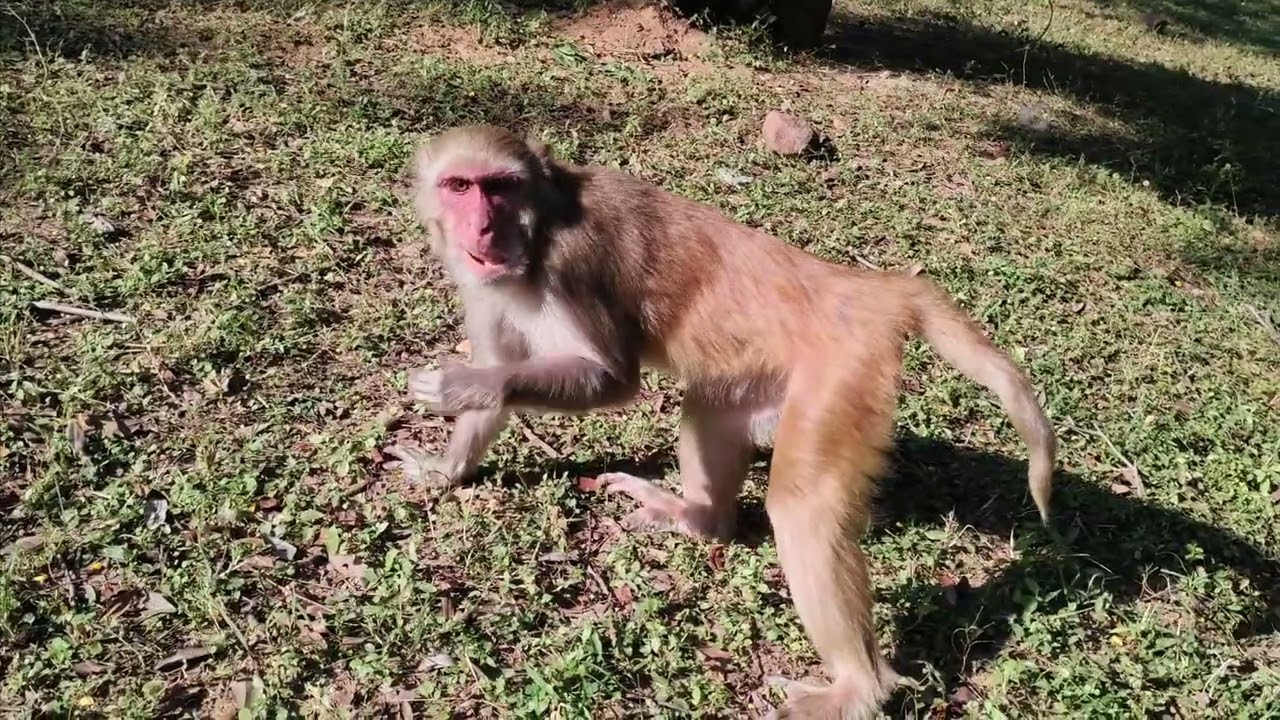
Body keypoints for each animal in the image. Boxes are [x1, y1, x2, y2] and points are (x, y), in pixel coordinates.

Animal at [390, 124, 1056, 719]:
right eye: (459, 186)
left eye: (500, 187)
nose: (483, 226)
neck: (540, 227)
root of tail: (867, 289)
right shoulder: (482, 283)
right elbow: (498, 363)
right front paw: (446, 468)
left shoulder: (568, 267)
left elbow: (611, 378)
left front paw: (461, 386)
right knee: (710, 410)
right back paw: (701, 519)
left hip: (842, 371)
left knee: (801, 508)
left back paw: (856, 690)